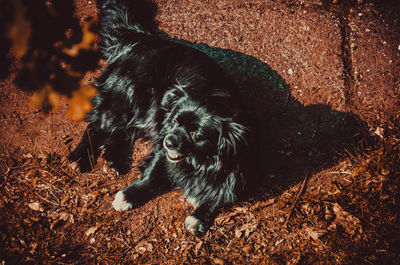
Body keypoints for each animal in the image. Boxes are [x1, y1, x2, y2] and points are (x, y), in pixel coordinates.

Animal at [69, 0, 250, 232]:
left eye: (197, 135)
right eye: (174, 121)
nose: (169, 141)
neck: (199, 161)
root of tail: (140, 39)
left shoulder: (237, 168)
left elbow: (222, 195)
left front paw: (200, 216)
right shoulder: (162, 151)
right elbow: (153, 175)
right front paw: (127, 196)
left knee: (124, 131)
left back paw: (115, 159)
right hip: (125, 100)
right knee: (96, 127)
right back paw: (80, 158)